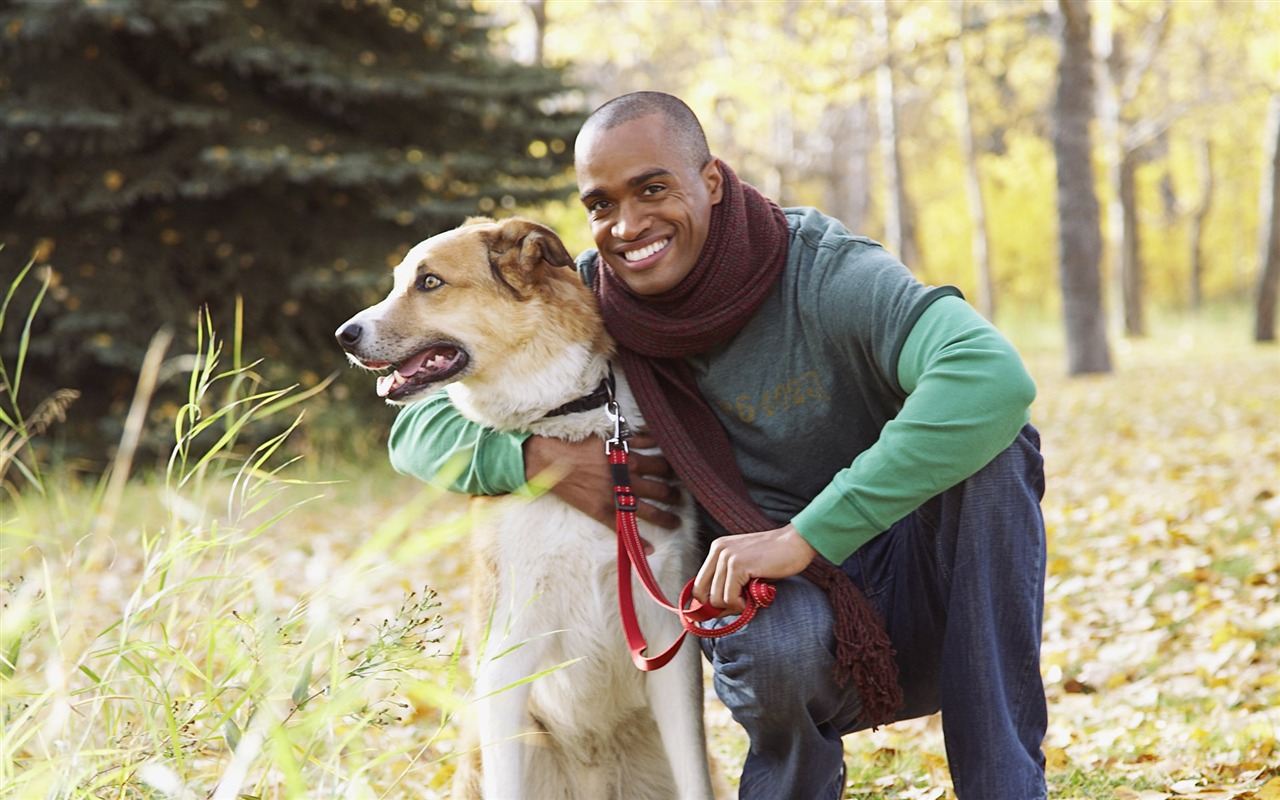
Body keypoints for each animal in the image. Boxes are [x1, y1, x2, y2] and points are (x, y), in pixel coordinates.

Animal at [335, 216, 716, 798]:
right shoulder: (506, 654)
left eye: (429, 282)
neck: (564, 414)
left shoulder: (669, 643)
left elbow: (696, 777)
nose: (344, 336)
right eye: (400, 281)